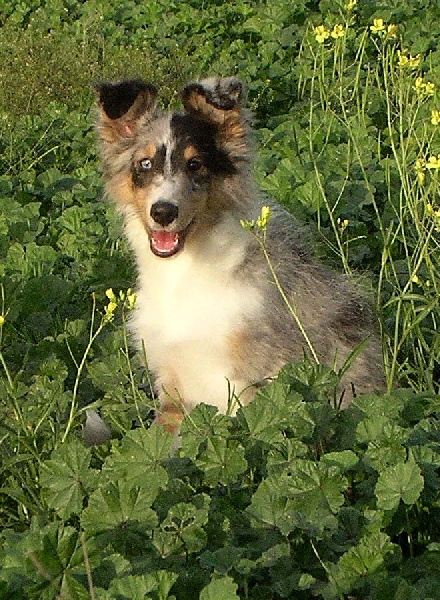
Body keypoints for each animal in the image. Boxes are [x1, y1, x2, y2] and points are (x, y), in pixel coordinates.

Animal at [94, 76, 384, 436]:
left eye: (196, 164)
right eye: (144, 164)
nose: (163, 212)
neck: (183, 274)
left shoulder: (247, 381)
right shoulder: (172, 388)